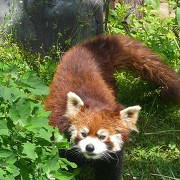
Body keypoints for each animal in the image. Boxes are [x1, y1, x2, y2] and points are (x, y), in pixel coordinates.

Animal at [44, 34, 179, 179]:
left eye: (103, 137)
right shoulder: (61, 139)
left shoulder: (113, 156)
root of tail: (90, 49)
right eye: (83, 134)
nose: (90, 147)